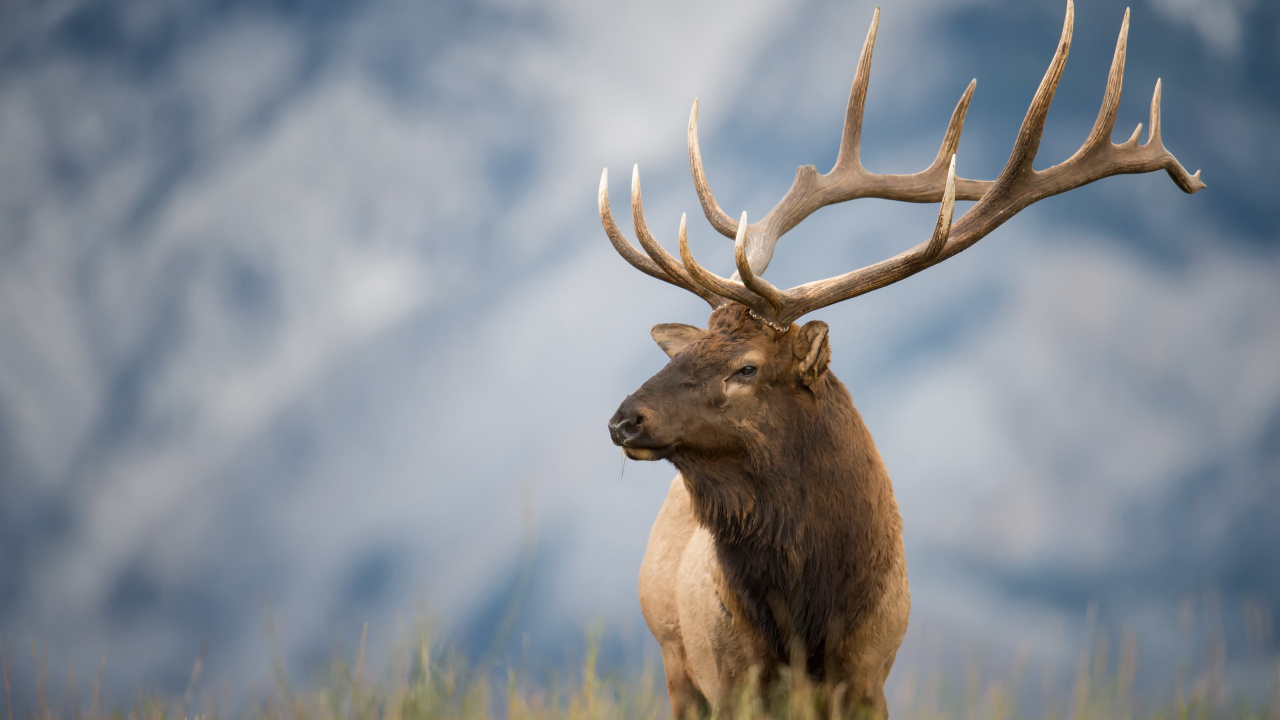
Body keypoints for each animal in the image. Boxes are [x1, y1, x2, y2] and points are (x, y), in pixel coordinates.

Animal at [600, 3, 1202, 718]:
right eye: (689, 349)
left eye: (745, 367)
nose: (624, 419)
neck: (809, 630)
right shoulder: (733, 679)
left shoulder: (871, 677)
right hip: (677, 664)